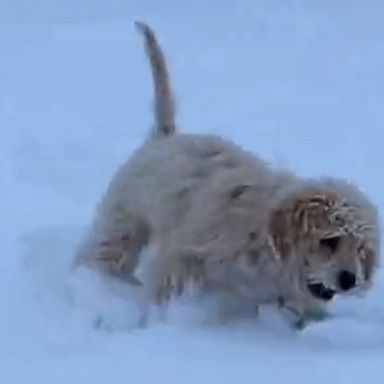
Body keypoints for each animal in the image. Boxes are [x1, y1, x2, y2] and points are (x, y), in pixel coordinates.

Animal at [74, 21, 378, 328]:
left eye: (360, 249)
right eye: (330, 241)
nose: (350, 280)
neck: (264, 238)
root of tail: (165, 136)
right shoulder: (189, 255)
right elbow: (171, 286)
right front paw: (168, 319)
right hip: (122, 222)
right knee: (105, 252)